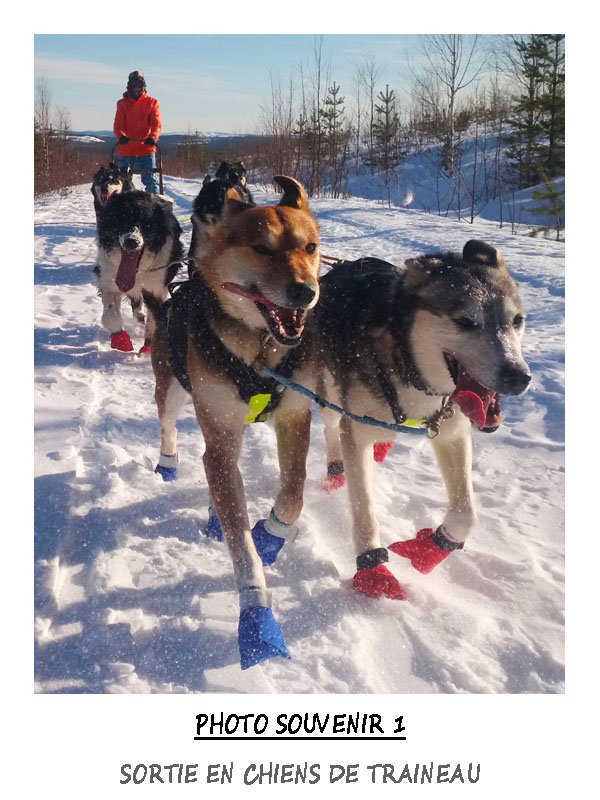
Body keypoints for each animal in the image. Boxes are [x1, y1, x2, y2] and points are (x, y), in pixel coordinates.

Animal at [95, 191, 184, 354]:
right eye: (121, 219)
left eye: (146, 224)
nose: (131, 242)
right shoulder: (109, 278)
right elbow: (110, 314)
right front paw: (120, 339)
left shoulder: (157, 286)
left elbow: (154, 318)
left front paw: (148, 344)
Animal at [145, 177, 322, 668]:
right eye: (261, 248)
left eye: (310, 247)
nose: (305, 291)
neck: (260, 346)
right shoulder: (221, 431)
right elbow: (240, 547)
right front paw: (257, 618)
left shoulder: (294, 415)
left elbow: (294, 489)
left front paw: (272, 533)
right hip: (175, 394)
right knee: (173, 429)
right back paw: (169, 463)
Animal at [308, 244, 532, 600]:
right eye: (466, 321)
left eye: (517, 320)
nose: (519, 376)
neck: (406, 363)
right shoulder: (356, 432)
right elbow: (364, 510)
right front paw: (372, 569)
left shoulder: (452, 432)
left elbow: (466, 514)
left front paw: (429, 549)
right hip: (330, 393)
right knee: (332, 428)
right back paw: (335, 470)